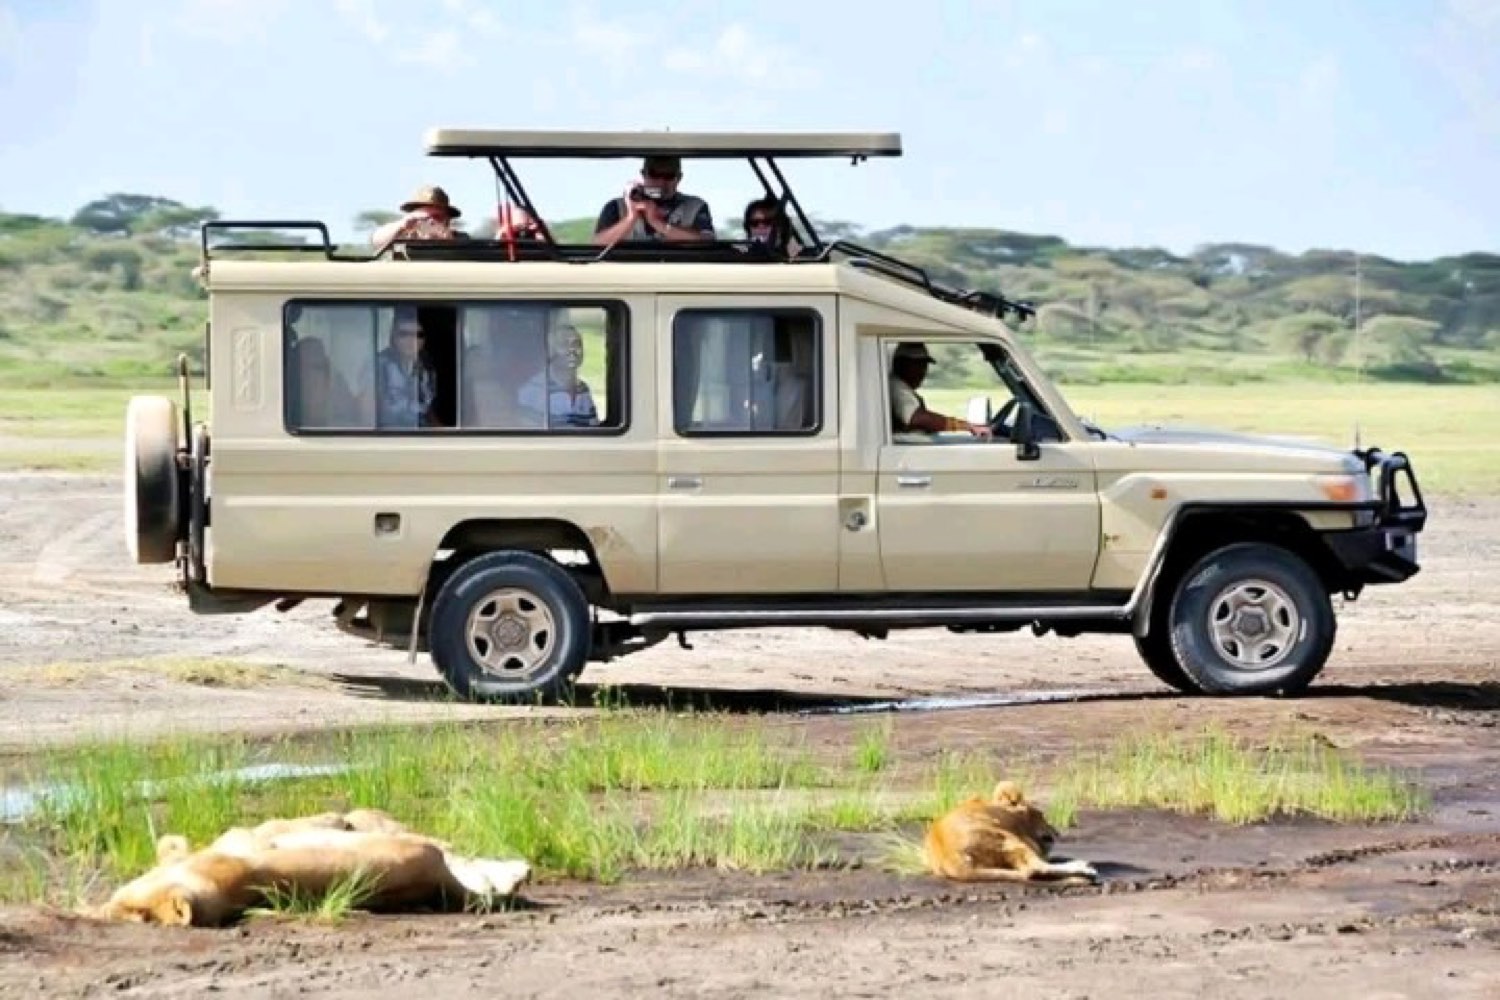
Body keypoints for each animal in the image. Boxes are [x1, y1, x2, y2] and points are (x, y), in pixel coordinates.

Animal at [922, 780, 1099, 884]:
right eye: (1041, 815)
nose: (1057, 833)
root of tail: (949, 860)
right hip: (1006, 838)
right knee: (1033, 869)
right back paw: (1084, 867)